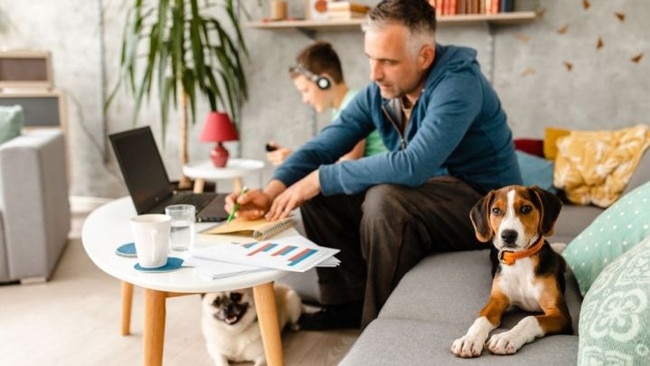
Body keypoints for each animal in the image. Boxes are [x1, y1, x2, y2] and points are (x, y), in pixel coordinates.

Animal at [448, 186, 568, 358]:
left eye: (526, 209)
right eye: (496, 210)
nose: (508, 235)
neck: (520, 259)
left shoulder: (560, 313)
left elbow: (530, 319)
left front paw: (506, 338)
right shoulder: (497, 300)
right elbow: (481, 318)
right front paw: (469, 339)